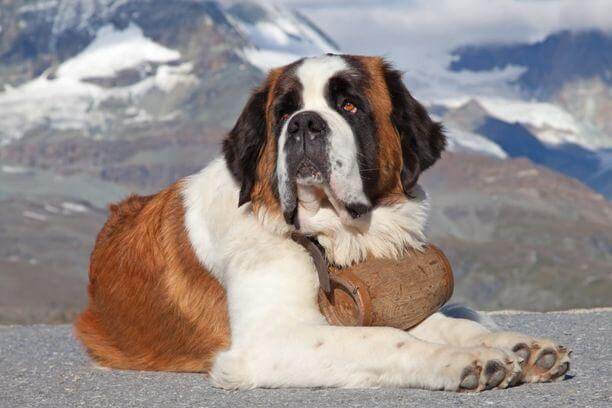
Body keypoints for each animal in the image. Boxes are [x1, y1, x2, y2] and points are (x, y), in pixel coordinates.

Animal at [75, 55, 568, 392]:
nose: (304, 123)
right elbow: (384, 338)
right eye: (282, 112)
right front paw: (459, 361)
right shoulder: (270, 341)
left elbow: (438, 322)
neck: (324, 238)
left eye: (349, 105)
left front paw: (511, 346)